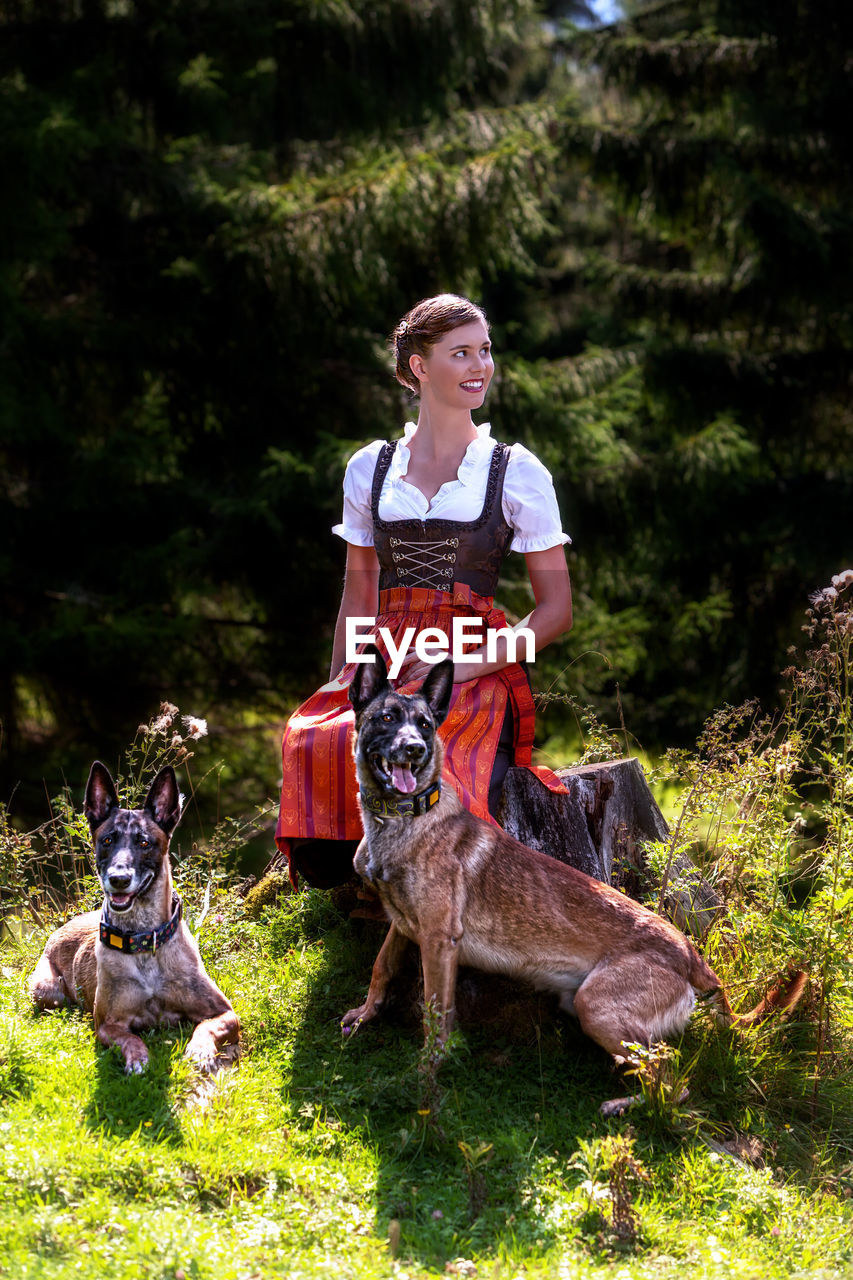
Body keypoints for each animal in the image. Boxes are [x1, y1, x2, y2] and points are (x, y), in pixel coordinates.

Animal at [31, 762, 236, 1075]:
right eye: (107, 840)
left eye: (144, 842)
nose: (119, 879)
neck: (144, 939)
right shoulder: (107, 1024)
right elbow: (130, 1039)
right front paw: (139, 1059)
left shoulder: (226, 1012)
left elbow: (206, 1027)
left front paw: (199, 1051)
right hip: (45, 989)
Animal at [338, 650, 804, 1111]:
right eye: (386, 718)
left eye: (425, 725)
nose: (414, 750)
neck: (399, 820)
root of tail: (693, 956)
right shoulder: (403, 925)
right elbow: (382, 967)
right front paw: (365, 1014)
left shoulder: (438, 942)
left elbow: (435, 1015)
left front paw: (426, 1076)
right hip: (585, 1006)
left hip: (595, 1007)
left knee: (671, 1082)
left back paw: (624, 1106)